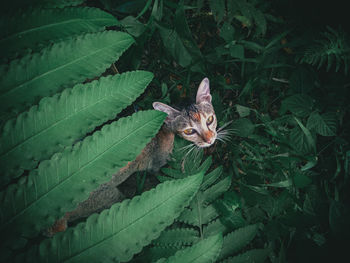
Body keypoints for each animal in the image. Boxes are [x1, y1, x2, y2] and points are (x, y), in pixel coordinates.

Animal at [46, 77, 221, 236]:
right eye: (189, 131)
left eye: (210, 119)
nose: (210, 139)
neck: (162, 128)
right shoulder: (156, 163)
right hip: (111, 197)